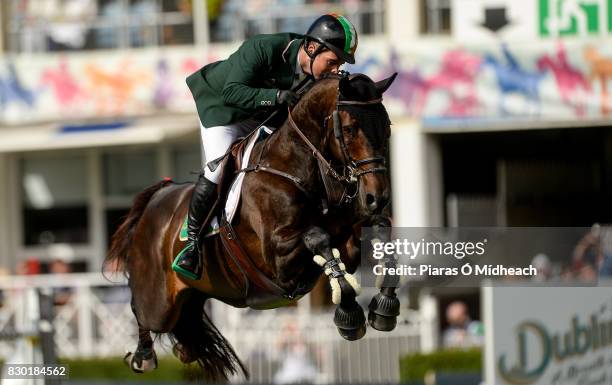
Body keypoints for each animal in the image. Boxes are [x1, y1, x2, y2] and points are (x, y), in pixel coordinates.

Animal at [104, 70, 402, 380]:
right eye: (350, 128)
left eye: (387, 127)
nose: (377, 197)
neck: (297, 168)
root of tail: (157, 197)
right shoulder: (277, 260)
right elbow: (317, 237)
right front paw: (350, 314)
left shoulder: (345, 242)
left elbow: (377, 228)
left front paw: (383, 308)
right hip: (159, 303)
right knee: (142, 310)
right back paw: (143, 356)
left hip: (192, 296)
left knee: (185, 335)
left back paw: (182, 350)